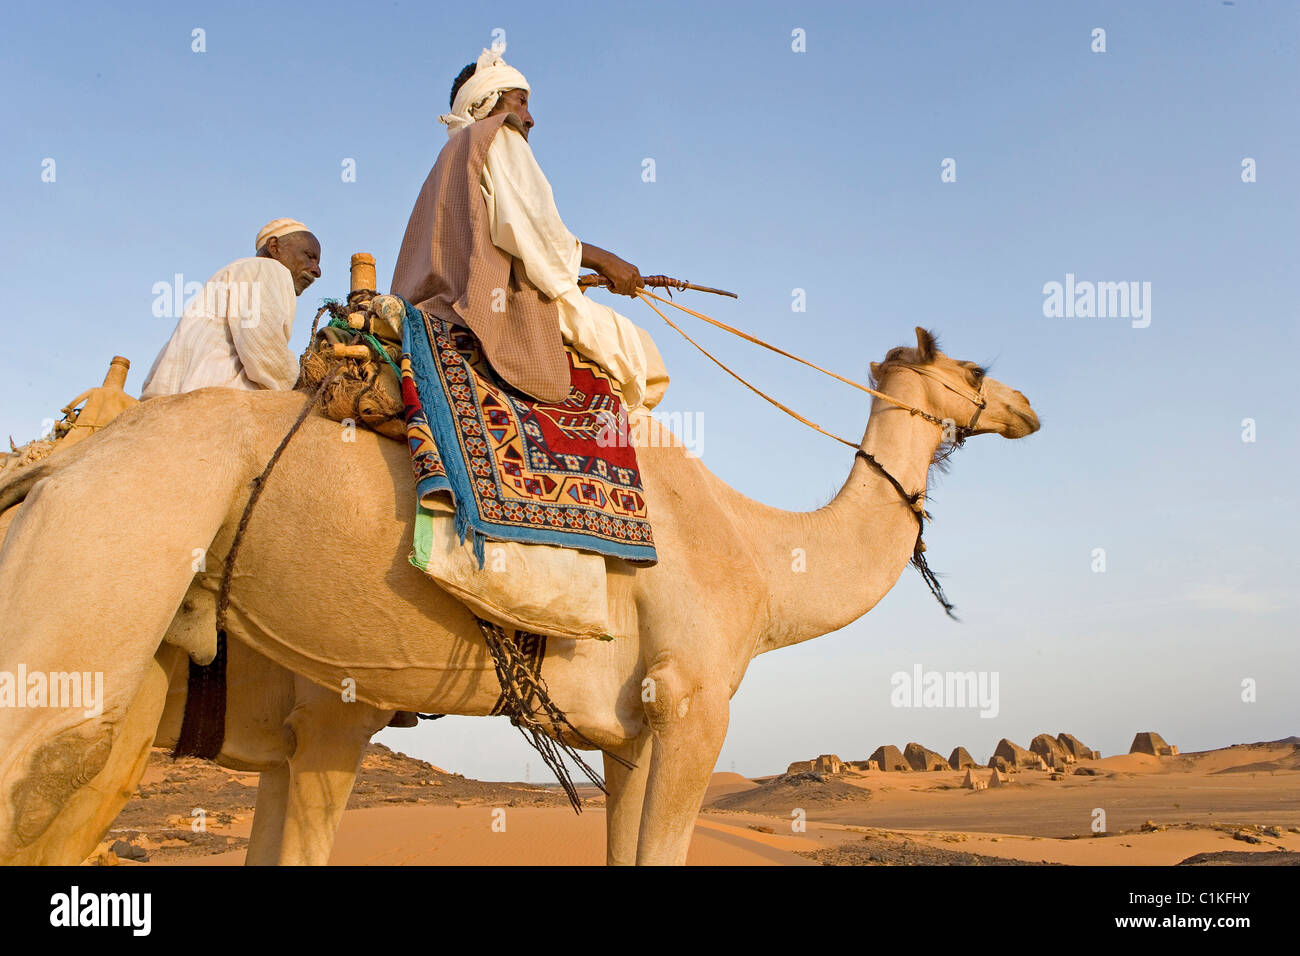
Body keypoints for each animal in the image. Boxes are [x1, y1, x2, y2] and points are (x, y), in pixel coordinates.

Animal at [0, 329, 1034, 868]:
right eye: (975, 373)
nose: (1026, 406)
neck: (761, 558)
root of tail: (60, 464)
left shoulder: (630, 732)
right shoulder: (696, 704)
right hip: (98, 594)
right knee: (52, 754)